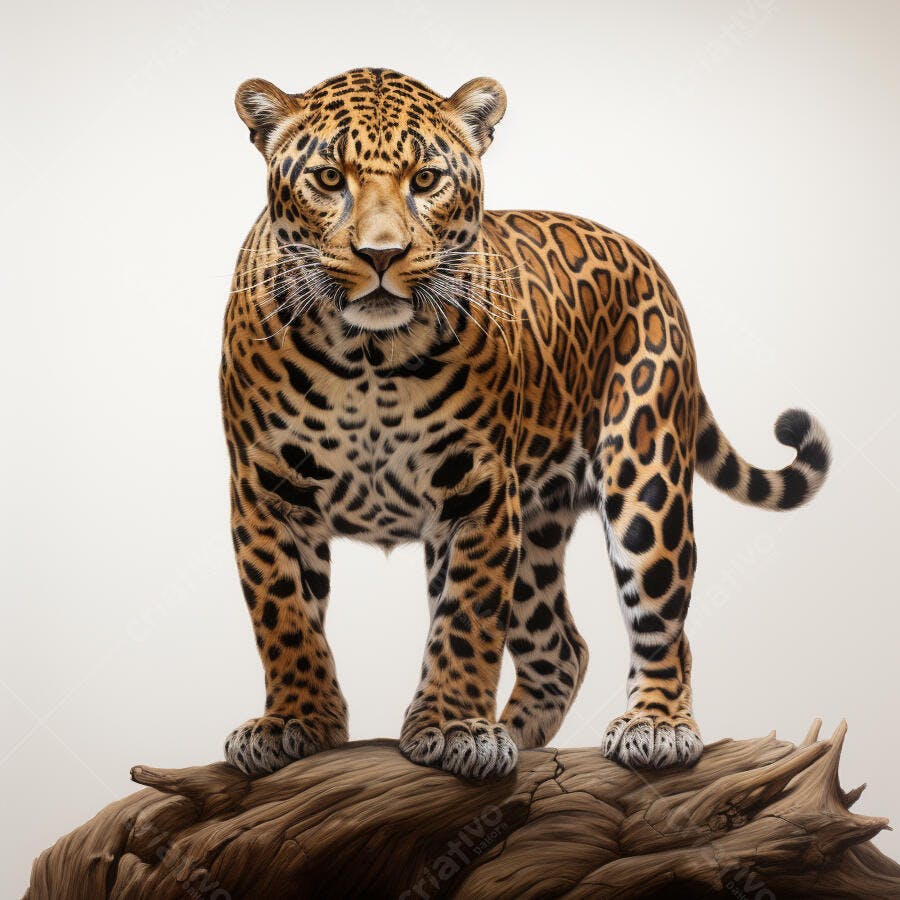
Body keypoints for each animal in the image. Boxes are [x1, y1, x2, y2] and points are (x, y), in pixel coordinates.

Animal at [220, 67, 830, 779]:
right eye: (327, 179)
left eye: (425, 180)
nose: (381, 255)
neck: (369, 355)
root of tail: (647, 259)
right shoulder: (267, 491)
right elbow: (285, 616)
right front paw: (295, 722)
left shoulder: (478, 489)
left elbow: (467, 617)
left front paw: (453, 726)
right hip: (537, 524)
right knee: (560, 647)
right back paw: (519, 734)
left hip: (644, 477)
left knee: (664, 628)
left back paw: (656, 725)